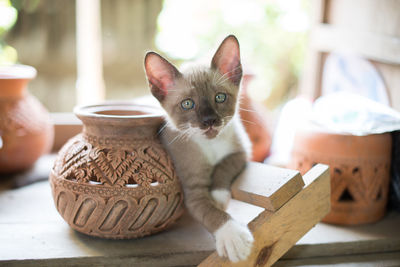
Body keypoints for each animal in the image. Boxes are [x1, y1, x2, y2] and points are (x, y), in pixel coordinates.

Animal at [144, 34, 253, 262]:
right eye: (187, 104)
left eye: (220, 97)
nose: (209, 121)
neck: (211, 145)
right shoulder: (193, 193)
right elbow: (211, 213)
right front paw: (233, 237)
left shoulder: (242, 151)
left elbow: (224, 165)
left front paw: (218, 196)